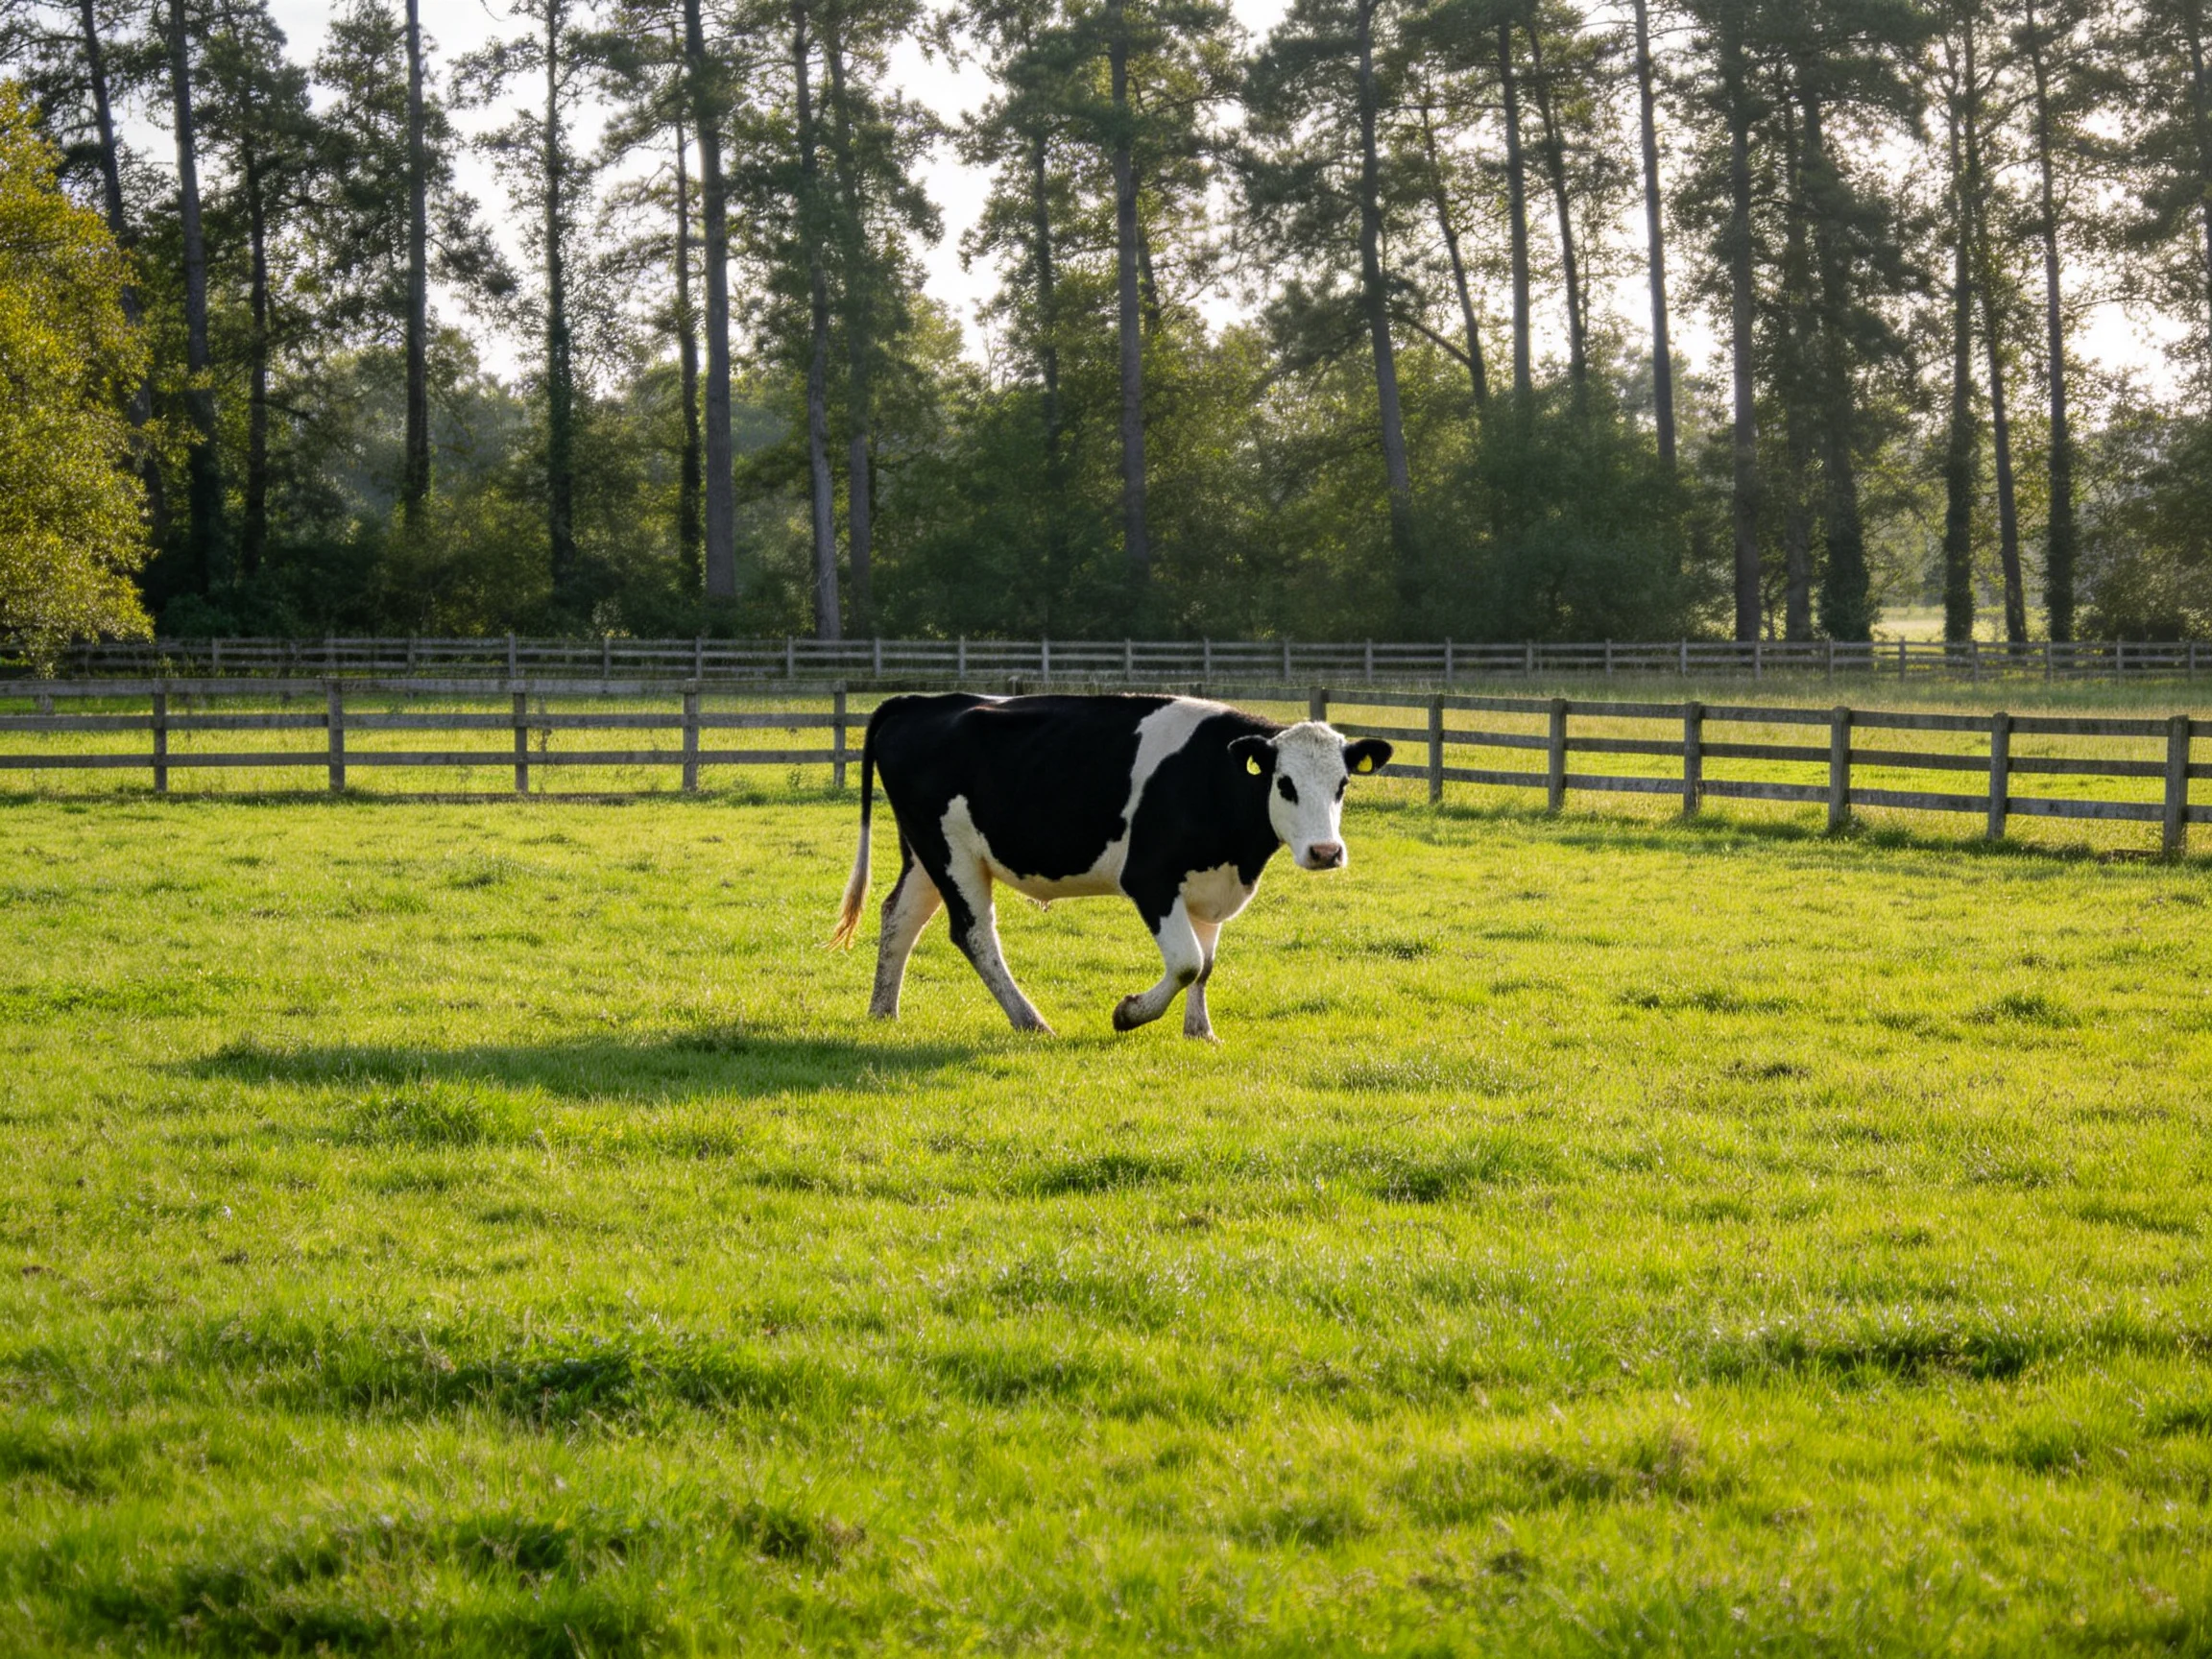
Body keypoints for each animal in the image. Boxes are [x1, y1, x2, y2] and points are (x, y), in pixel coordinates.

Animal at [829, 693, 1393, 1038]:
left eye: (1342, 784)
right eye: (1285, 784)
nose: (1326, 852)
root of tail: (923, 701)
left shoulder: (1214, 886)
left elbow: (1206, 964)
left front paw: (1200, 1031)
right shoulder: (1151, 879)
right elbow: (1186, 962)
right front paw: (1130, 1014)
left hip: (928, 853)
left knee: (900, 917)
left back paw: (883, 1011)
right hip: (953, 855)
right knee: (973, 932)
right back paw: (1031, 1021)